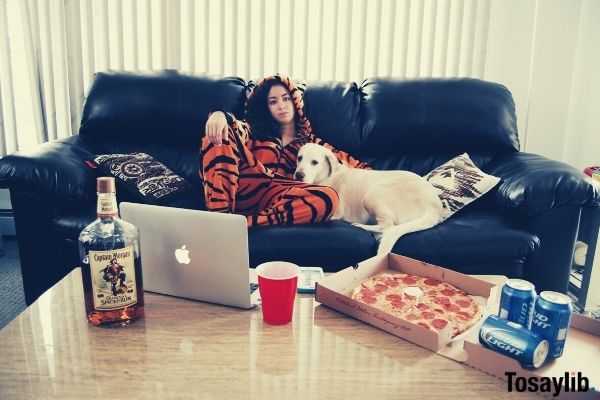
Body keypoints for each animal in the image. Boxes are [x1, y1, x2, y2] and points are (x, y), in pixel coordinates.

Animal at [296, 144, 446, 255]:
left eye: (314, 162)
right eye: (299, 158)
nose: (298, 175)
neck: (327, 176)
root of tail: (434, 206)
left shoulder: (336, 211)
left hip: (372, 196)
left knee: (387, 226)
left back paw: (360, 226)